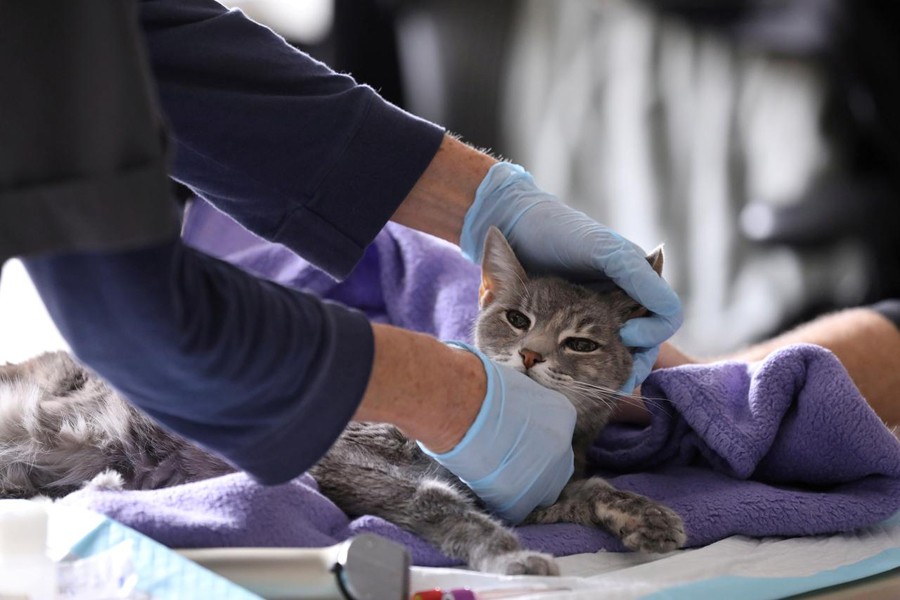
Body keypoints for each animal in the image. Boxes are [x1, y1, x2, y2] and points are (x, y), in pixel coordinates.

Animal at [0, 227, 684, 576]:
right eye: (518, 319)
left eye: (580, 342)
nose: (535, 356)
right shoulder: (351, 460)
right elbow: (442, 504)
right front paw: (513, 558)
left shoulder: (525, 492)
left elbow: (585, 489)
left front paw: (645, 514)